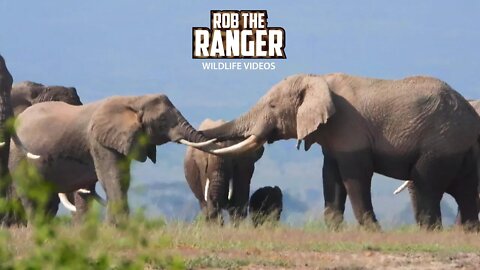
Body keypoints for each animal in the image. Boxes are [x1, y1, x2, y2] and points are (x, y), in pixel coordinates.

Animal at [7, 94, 216, 225]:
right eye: (162, 120)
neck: (134, 99)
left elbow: (122, 178)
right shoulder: (99, 141)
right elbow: (111, 175)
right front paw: (118, 226)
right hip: (19, 157)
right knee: (31, 194)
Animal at [201, 73, 480, 230]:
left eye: (272, 105)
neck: (319, 79)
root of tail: (469, 115)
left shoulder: (350, 127)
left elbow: (354, 177)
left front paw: (372, 231)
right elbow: (331, 177)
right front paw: (334, 229)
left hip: (440, 145)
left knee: (426, 185)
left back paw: (431, 233)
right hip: (459, 148)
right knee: (465, 191)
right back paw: (466, 233)